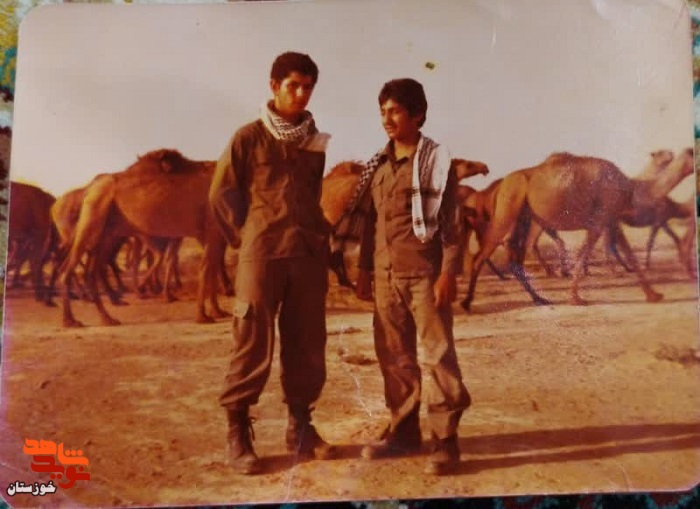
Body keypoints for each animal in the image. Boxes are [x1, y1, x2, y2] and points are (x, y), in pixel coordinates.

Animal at [57, 149, 230, 327]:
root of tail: (89, 189)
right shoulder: (211, 228)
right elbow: (206, 269)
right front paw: (203, 316)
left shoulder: (208, 234)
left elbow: (212, 268)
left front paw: (218, 311)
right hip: (92, 217)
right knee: (70, 269)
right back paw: (70, 320)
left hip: (105, 233)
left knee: (90, 272)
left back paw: (108, 317)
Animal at [460, 148, 695, 311]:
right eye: (692, 154)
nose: (671, 153)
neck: (631, 186)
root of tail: (501, 184)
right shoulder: (599, 221)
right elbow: (585, 254)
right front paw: (575, 298)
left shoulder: (610, 220)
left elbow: (627, 254)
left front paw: (653, 295)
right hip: (508, 207)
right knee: (483, 254)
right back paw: (467, 302)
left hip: (525, 217)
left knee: (515, 258)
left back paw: (540, 299)